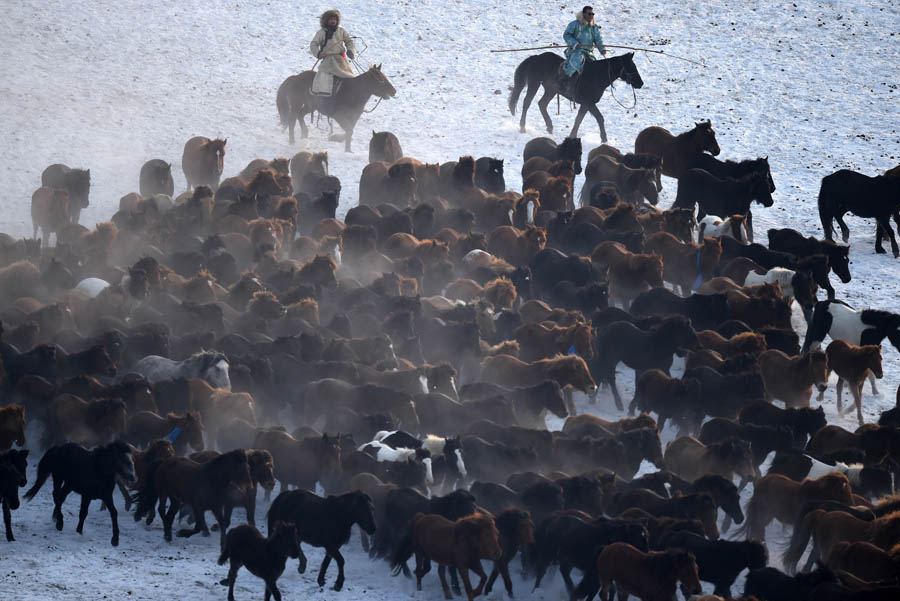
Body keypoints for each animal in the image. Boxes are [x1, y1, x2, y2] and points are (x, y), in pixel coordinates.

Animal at [508, 52, 643, 141]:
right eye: (631, 66)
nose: (640, 83)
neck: (597, 75)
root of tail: (536, 57)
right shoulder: (588, 103)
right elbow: (597, 118)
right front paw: (603, 138)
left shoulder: (586, 104)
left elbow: (582, 118)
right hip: (534, 84)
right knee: (527, 102)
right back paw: (522, 127)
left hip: (551, 90)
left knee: (542, 104)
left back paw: (549, 127)